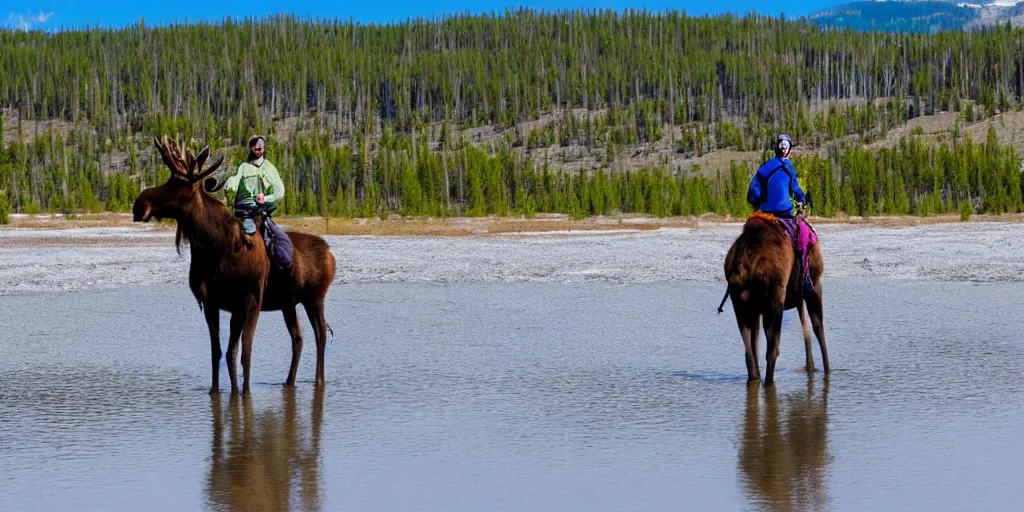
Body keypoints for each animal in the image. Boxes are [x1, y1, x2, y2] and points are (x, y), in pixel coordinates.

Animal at [132, 134, 335, 393]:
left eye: (178, 186)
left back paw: (319, 381)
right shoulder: (215, 304)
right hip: (289, 303)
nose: (139, 205)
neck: (214, 250)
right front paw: (218, 392)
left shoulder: (251, 301)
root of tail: (330, 252)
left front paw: (244, 393)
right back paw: (289, 382)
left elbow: (244, 352)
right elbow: (221, 352)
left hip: (315, 298)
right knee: (298, 339)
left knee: (320, 335)